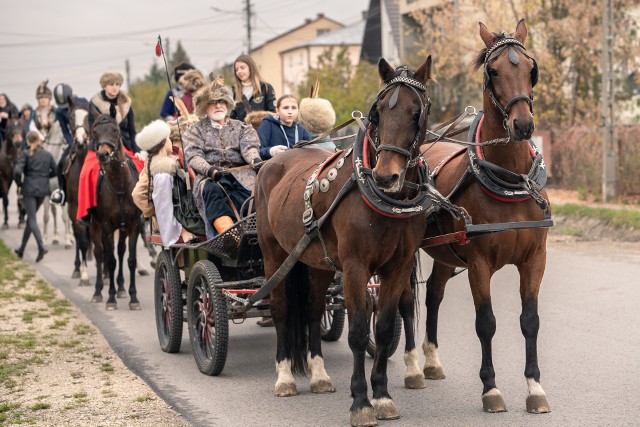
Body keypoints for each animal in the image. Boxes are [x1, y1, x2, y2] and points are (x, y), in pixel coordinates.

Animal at [88, 114, 141, 310]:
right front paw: (110, 298)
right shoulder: (106, 227)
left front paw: (134, 298)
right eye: (94, 131)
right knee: (99, 254)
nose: (102, 155)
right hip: (94, 227)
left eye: (115, 130)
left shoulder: (134, 225)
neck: (119, 185)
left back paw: (121, 288)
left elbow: (131, 260)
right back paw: (98, 292)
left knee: (120, 250)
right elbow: (109, 261)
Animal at [258, 57, 432, 427]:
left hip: (318, 262)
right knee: (281, 309)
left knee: (311, 308)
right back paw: (285, 378)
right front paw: (361, 402)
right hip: (274, 255)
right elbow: (357, 332)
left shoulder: (397, 267)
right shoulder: (355, 268)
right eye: (378, 112)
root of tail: (274, 161)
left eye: (416, 112)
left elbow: (383, 328)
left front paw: (382, 396)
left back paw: (319, 375)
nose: (385, 176)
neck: (386, 200)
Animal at [420, 19, 552, 414]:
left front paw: (534, 387)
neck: (510, 180)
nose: (523, 125)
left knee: (433, 294)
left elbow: (530, 321)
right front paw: (491, 389)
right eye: (493, 71)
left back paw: (430, 360)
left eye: (531, 68)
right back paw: (409, 367)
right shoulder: (478, 263)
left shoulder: (535, 259)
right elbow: (486, 323)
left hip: (445, 253)